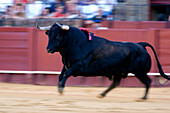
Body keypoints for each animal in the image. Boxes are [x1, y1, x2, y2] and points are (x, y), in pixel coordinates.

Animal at [36, 22, 169, 100]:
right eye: (49, 34)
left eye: (58, 35)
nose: (48, 49)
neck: (76, 43)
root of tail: (141, 45)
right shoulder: (67, 64)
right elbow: (60, 75)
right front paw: (59, 88)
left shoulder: (79, 66)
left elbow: (66, 74)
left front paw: (61, 88)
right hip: (119, 72)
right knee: (116, 83)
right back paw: (102, 94)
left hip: (139, 72)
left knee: (148, 81)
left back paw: (143, 98)